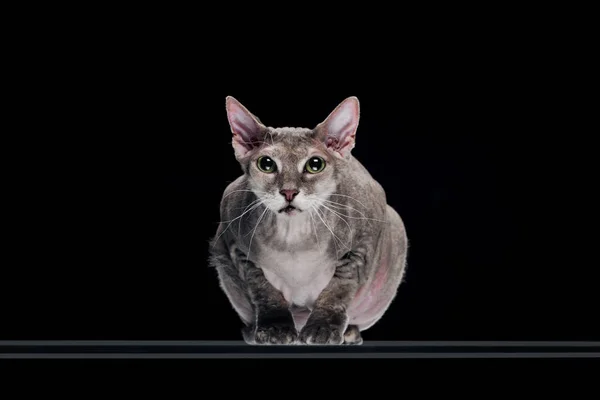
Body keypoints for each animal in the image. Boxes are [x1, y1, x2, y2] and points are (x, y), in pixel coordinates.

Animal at [206, 96, 408, 344]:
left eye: (315, 165)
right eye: (266, 164)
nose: (289, 192)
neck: (293, 238)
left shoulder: (360, 249)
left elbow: (337, 291)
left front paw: (323, 328)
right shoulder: (239, 250)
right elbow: (264, 291)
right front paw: (275, 327)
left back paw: (349, 332)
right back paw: (253, 332)